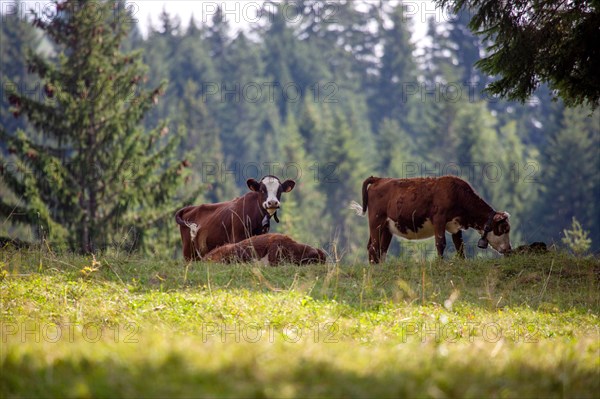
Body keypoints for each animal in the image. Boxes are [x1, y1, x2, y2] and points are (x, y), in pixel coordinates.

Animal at [350, 177, 512, 264]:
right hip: (376, 221)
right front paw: (440, 263)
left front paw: (462, 262)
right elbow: (441, 243)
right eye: (504, 228)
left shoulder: (455, 226)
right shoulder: (439, 219)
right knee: (374, 247)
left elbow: (460, 246)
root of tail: (379, 179)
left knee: (380, 248)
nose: (509, 249)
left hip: (386, 227)